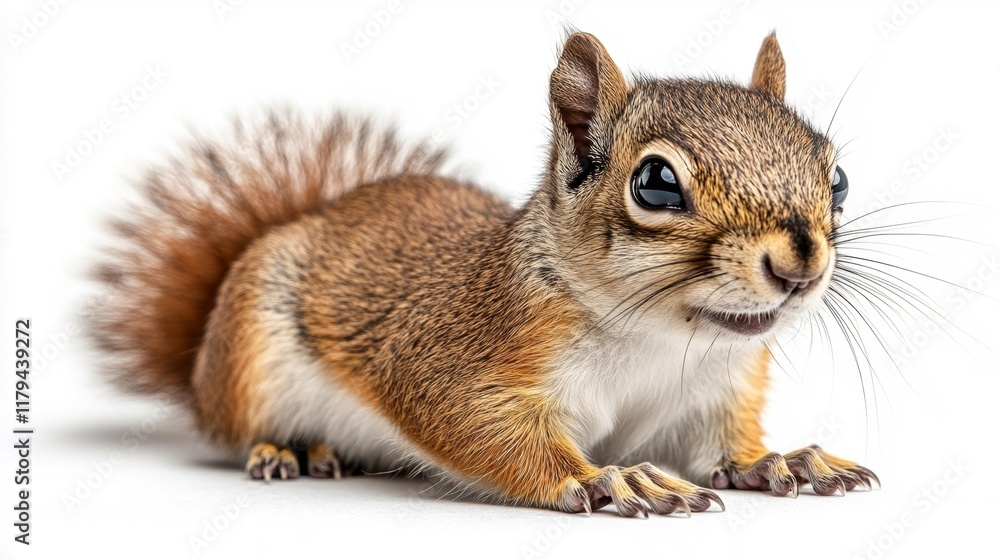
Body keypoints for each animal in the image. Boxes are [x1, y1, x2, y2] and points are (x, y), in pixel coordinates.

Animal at [91, 31, 878, 516]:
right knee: (237, 428)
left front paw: (780, 461)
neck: (661, 339)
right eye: (655, 184)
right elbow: (478, 427)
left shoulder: (715, 394)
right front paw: (605, 476)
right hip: (251, 356)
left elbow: (720, 449)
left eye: (836, 176)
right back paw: (290, 447)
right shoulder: (457, 355)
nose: (800, 263)